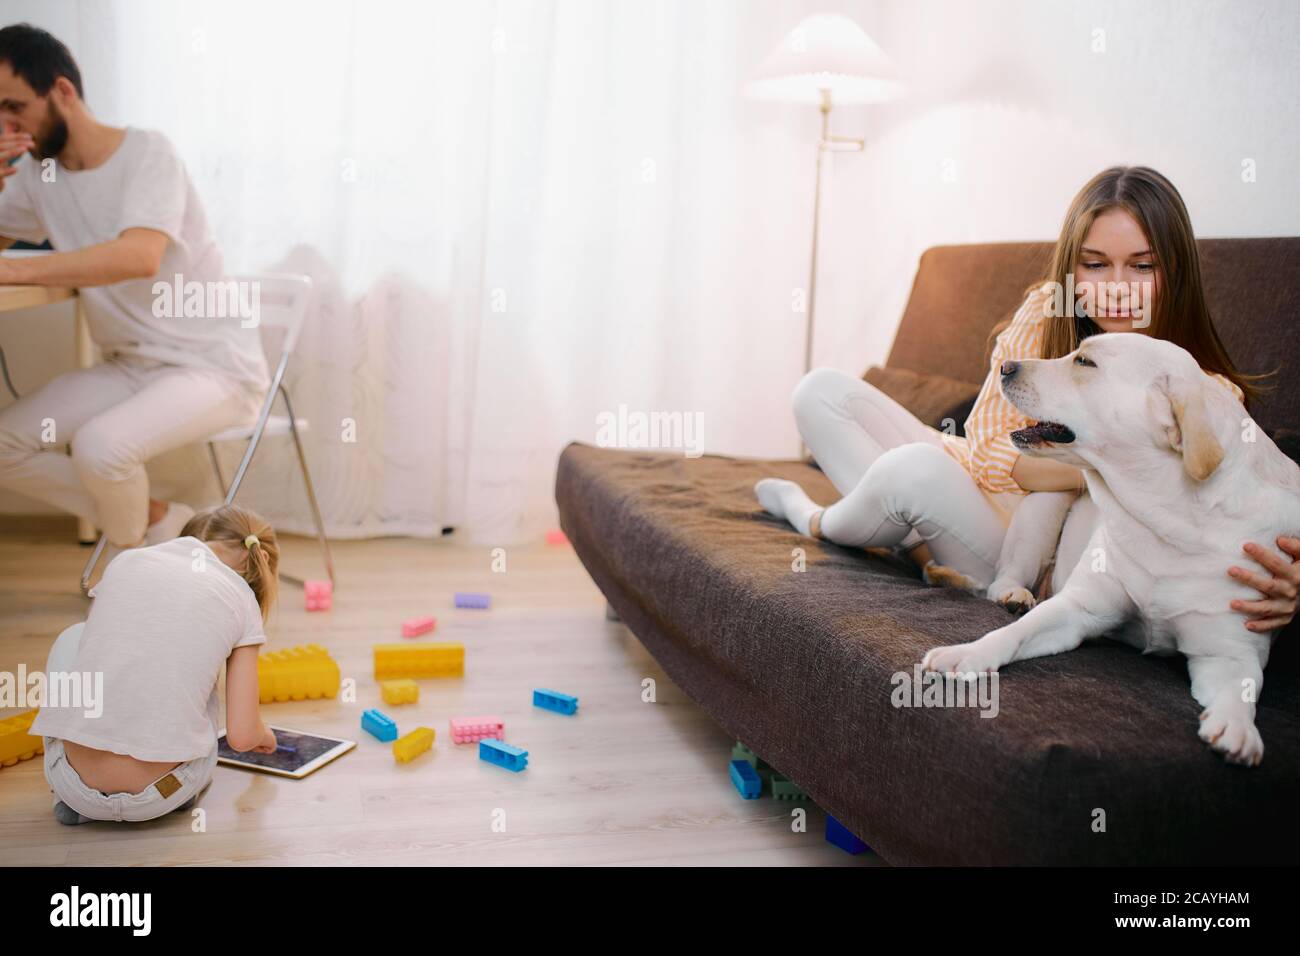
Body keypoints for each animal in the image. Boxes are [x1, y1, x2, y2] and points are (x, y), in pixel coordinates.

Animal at [920, 332, 1294, 764]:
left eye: (1085, 362)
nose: (1004, 365)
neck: (1170, 522)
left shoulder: (1231, 652)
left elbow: (1241, 691)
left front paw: (1238, 728)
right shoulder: (1078, 607)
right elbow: (1014, 633)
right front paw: (966, 653)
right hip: (1046, 503)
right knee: (1003, 578)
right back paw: (1013, 594)